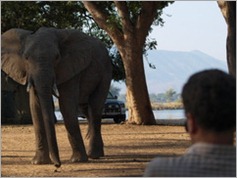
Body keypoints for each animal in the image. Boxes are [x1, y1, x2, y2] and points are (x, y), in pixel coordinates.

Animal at [1, 27, 112, 168]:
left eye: (57, 57)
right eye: (26, 57)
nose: (57, 165)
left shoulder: (71, 67)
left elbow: (66, 105)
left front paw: (77, 160)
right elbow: (35, 107)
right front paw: (39, 162)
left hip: (106, 72)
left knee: (95, 107)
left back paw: (94, 155)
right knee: (86, 107)